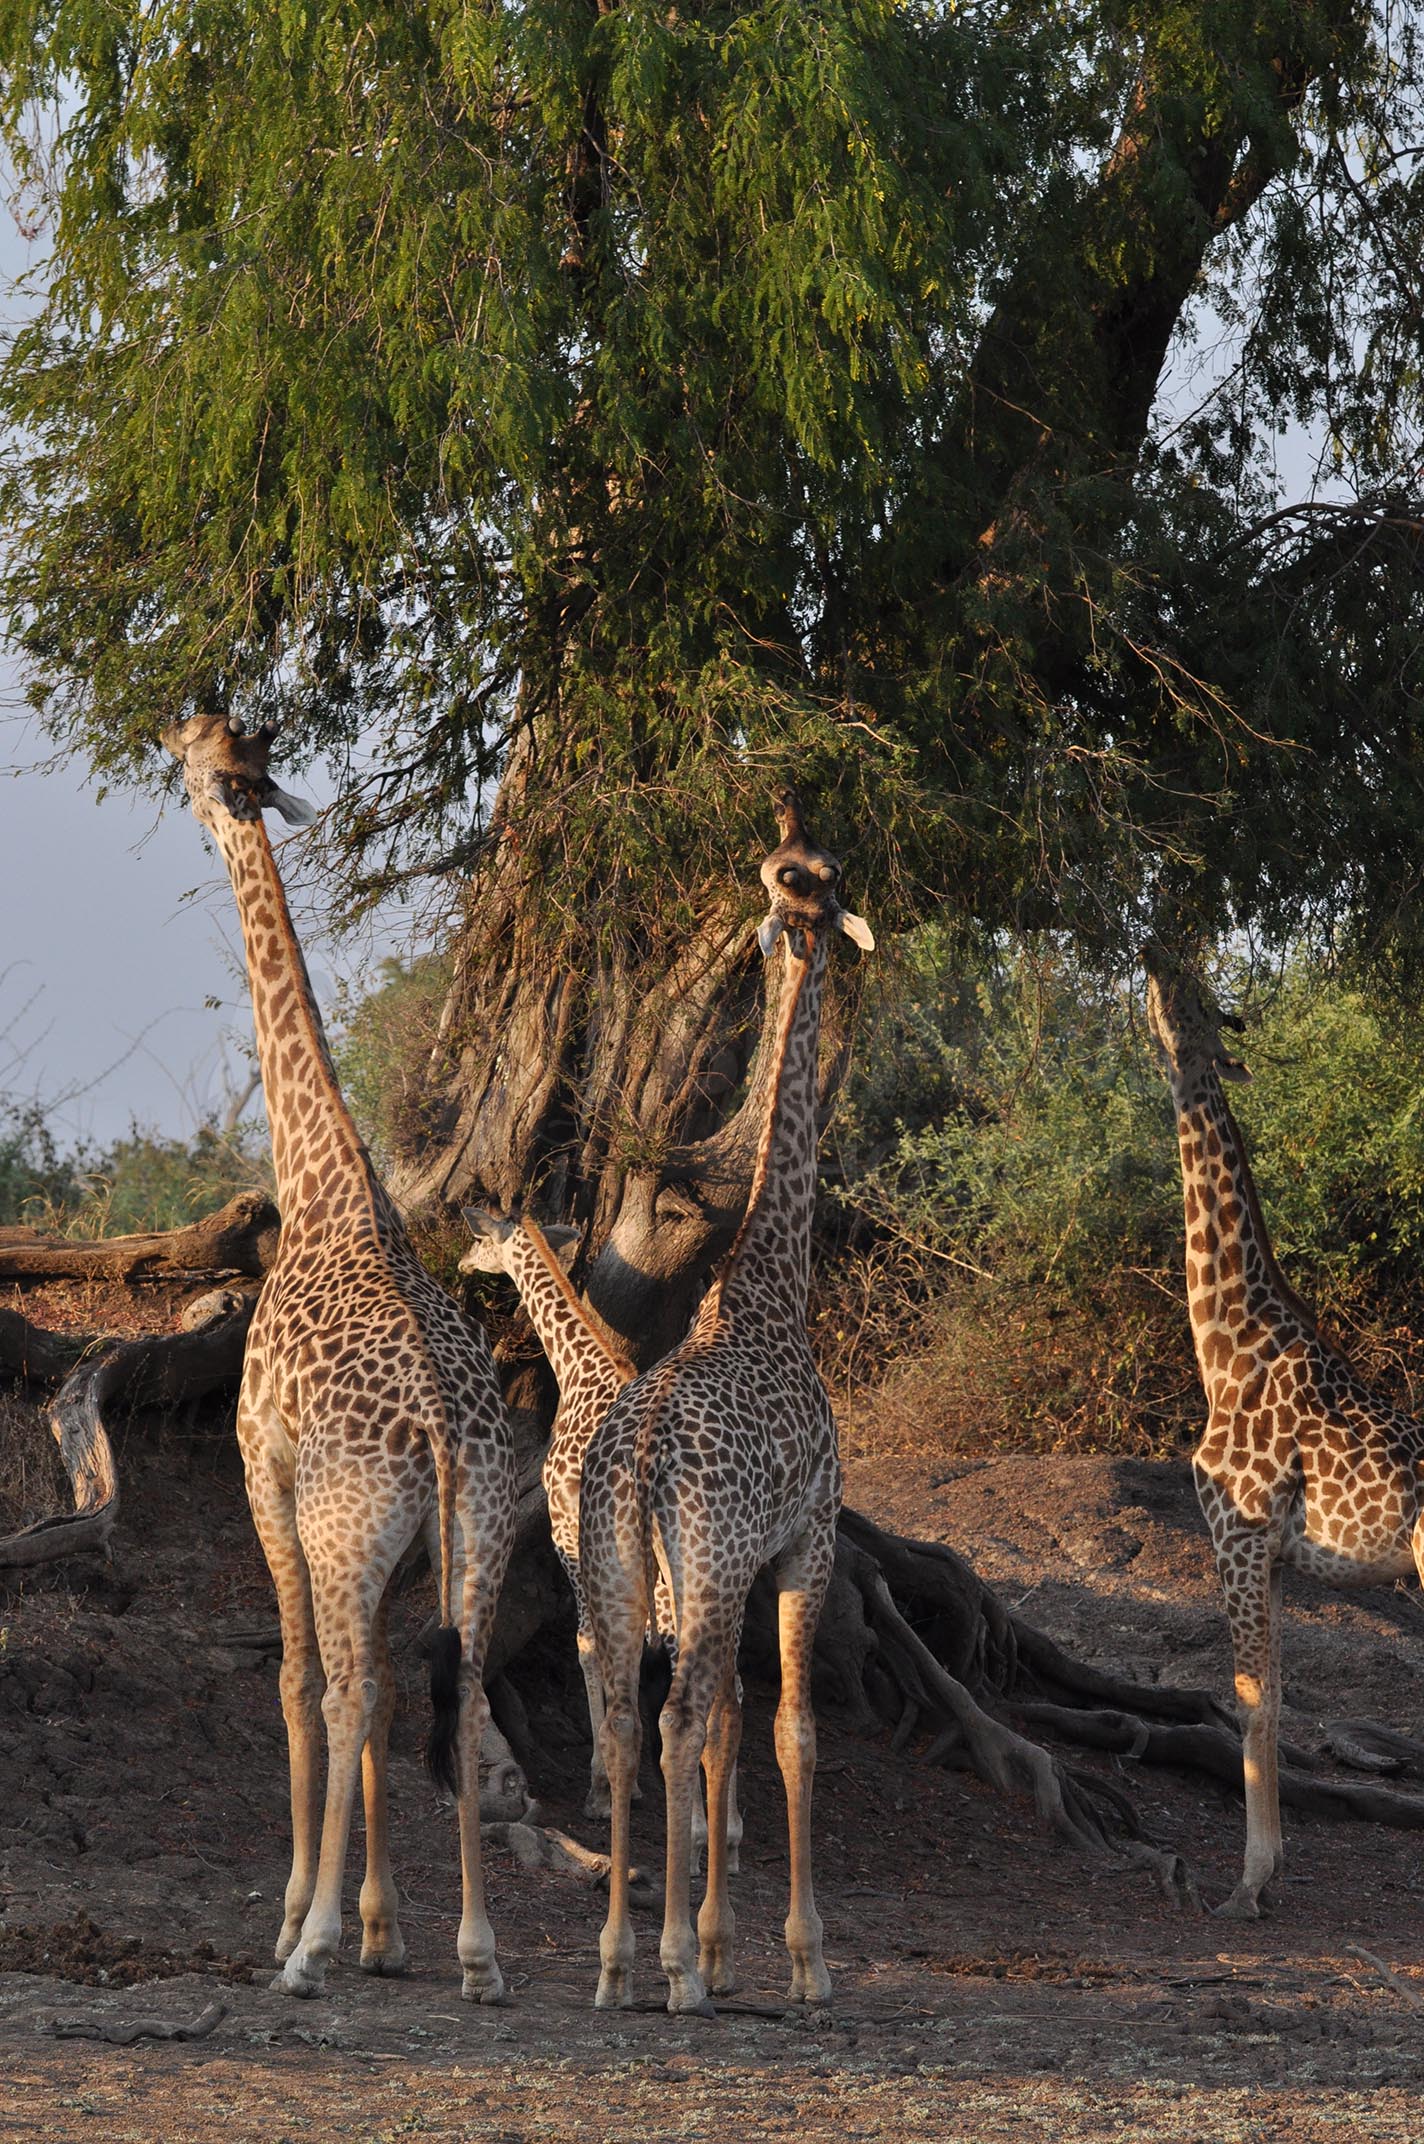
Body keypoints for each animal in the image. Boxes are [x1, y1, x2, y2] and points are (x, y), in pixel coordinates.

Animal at [162, 711, 516, 1998]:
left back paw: (306, 1949)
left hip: (344, 1522)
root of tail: (446, 1434)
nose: (165, 735)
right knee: (453, 1685)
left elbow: (296, 1681)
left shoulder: (262, 1472)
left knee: (352, 1682)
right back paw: (477, 1952)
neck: (323, 1186)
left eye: (196, 756)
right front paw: (384, 1926)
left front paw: (305, 1920)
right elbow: (395, 1693)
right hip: (477, 1532)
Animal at [458, 1217, 750, 1869]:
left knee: (693, 1693)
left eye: (481, 1236)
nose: (462, 1264)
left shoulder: (569, 1534)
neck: (580, 1369)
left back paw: (698, 1834)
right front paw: (630, 1780)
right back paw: (730, 1833)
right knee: (732, 1688)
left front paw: (602, 1789)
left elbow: (588, 1645)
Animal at [1149, 964, 1423, 1921]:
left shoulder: (1234, 1536)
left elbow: (1250, 1706)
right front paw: (1273, 1870)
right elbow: (1273, 1697)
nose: (1147, 956)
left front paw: (1246, 1885)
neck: (1229, 1346)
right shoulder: (1270, 1555)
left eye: (1192, 1000)